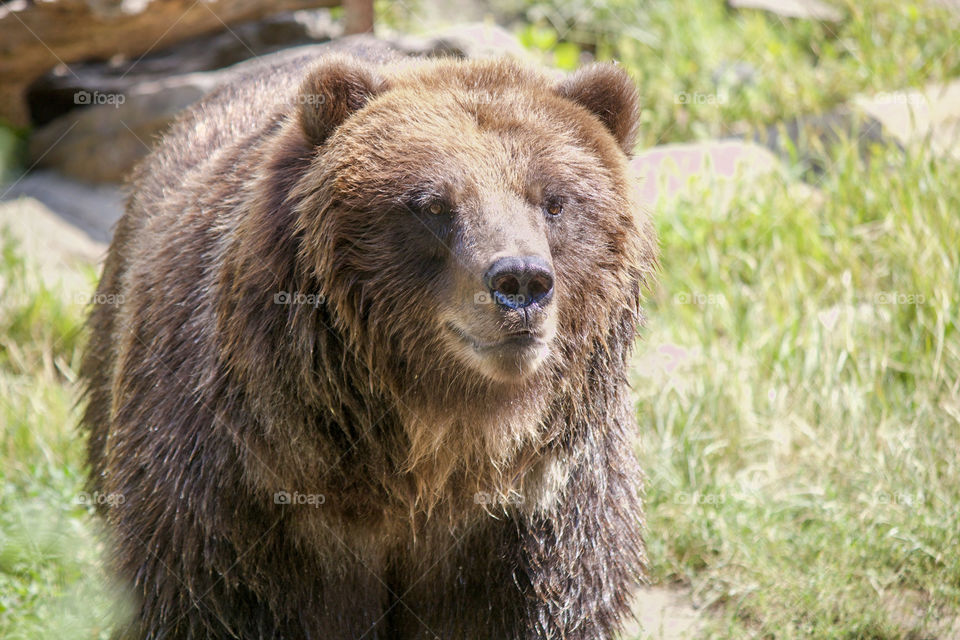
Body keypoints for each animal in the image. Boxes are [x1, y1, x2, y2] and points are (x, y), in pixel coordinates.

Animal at [80, 48, 658, 640]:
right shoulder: (240, 492)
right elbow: (203, 597)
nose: (521, 281)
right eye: (432, 205)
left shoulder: (539, 513)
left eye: (554, 201)